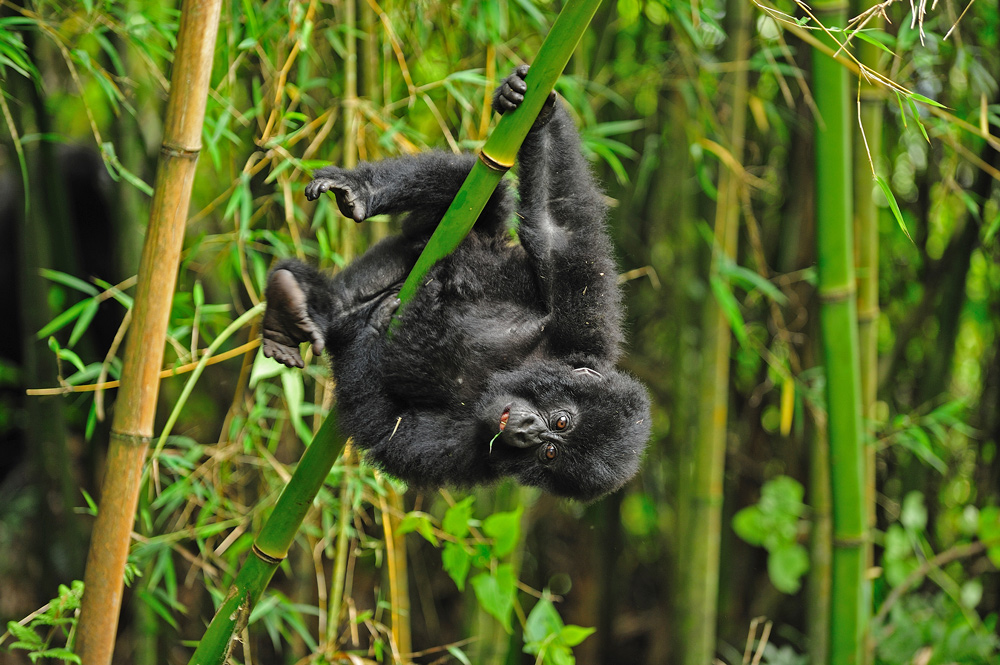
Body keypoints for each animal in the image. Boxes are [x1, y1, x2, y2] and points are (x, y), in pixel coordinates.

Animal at [262, 67, 652, 500]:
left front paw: (378, 333)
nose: (526, 430)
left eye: (549, 453)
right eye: (561, 422)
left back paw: (299, 314)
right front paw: (537, 108)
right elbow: (557, 227)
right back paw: (357, 201)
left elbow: (388, 427)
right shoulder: (584, 323)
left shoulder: (473, 454)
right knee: (472, 191)